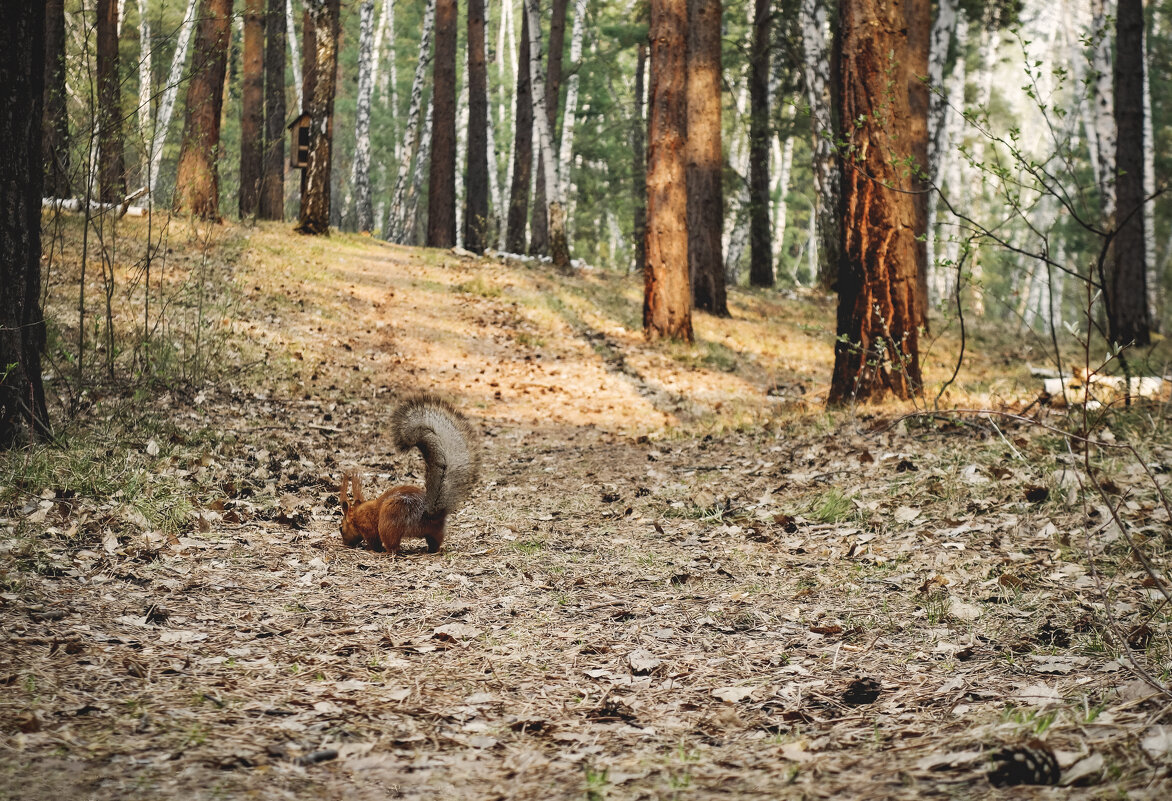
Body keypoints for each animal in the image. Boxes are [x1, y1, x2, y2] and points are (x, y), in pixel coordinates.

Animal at [339, 394, 480, 553]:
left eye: (341, 528)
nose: (345, 543)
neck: (358, 514)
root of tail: (428, 514)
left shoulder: (368, 527)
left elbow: (373, 541)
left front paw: (370, 548)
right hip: (435, 531)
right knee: (435, 542)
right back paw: (430, 549)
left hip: (389, 520)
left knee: (392, 545)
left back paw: (389, 551)